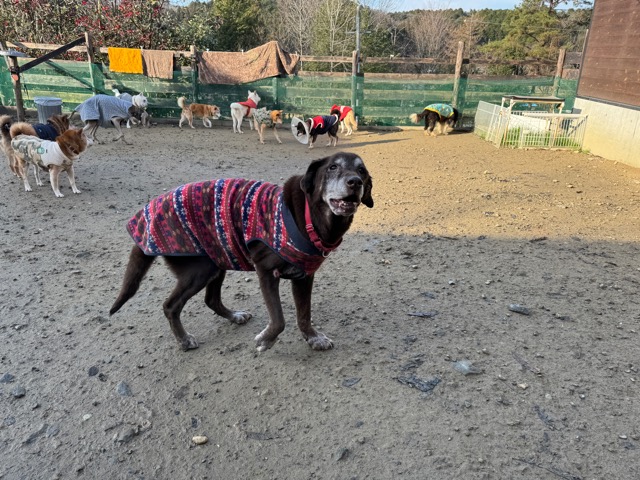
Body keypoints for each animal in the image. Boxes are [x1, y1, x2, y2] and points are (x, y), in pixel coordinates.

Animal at [109, 152, 374, 352]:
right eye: (332, 167)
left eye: (361, 171)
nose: (355, 182)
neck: (308, 217)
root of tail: (146, 214)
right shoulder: (266, 271)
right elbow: (279, 319)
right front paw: (266, 340)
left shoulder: (304, 277)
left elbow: (304, 314)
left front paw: (313, 337)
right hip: (199, 270)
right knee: (170, 305)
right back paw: (184, 340)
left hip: (217, 260)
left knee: (211, 299)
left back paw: (234, 316)